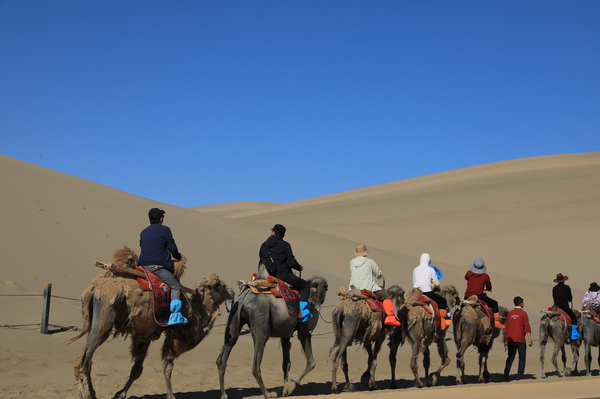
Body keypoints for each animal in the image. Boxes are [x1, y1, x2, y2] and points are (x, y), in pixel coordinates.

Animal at [67, 247, 232, 399]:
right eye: (218, 284)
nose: (231, 290)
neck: (193, 315)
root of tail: (94, 289)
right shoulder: (173, 335)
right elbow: (167, 366)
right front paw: (171, 396)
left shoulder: (146, 334)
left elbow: (137, 369)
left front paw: (120, 394)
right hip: (104, 320)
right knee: (84, 361)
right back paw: (87, 394)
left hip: (92, 321)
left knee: (85, 360)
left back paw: (89, 393)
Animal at [217, 266, 328, 399]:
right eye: (326, 287)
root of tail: (244, 300)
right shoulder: (304, 332)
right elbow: (311, 363)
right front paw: (291, 385)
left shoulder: (285, 335)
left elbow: (286, 363)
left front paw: (285, 391)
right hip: (260, 326)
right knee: (256, 366)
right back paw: (267, 394)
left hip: (234, 319)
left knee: (223, 357)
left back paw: (224, 394)